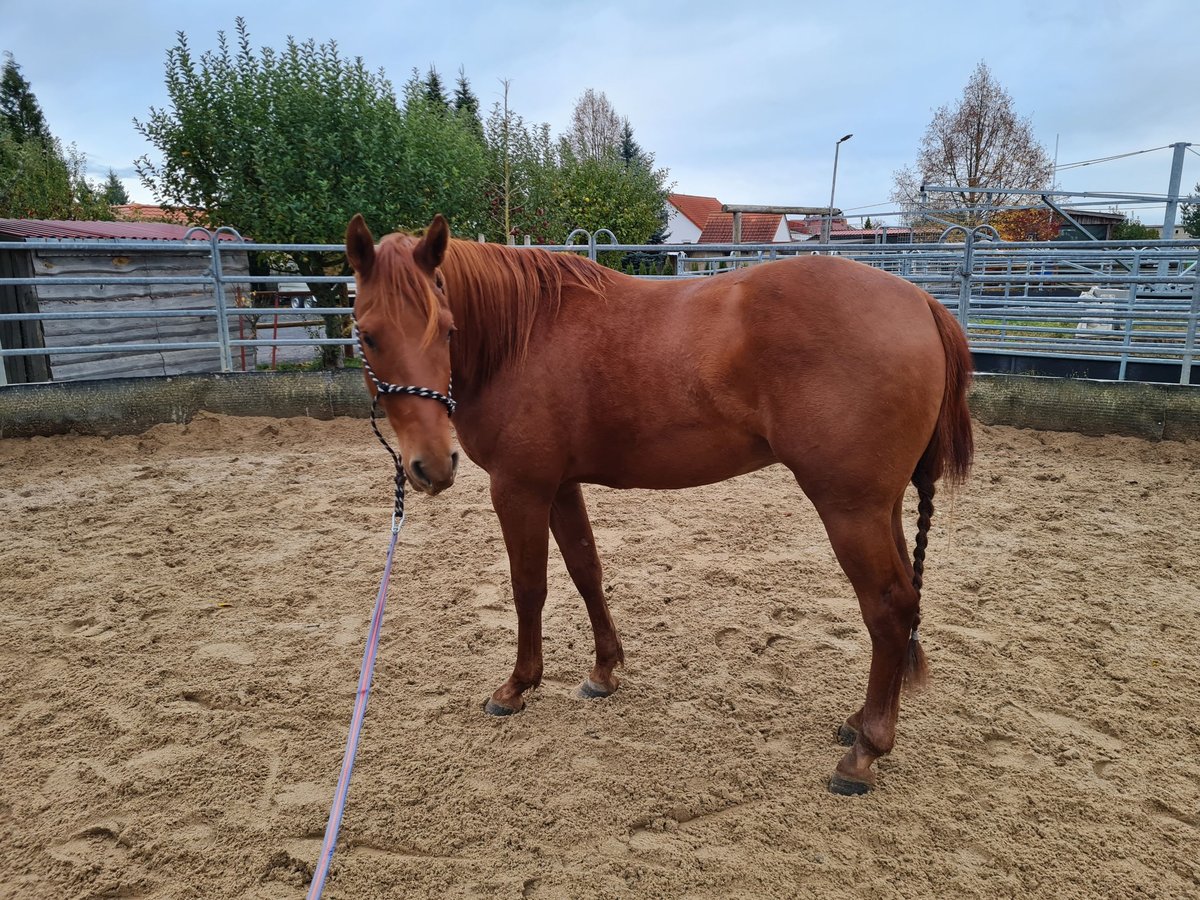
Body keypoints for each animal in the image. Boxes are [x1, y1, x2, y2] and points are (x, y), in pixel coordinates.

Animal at [345, 213, 973, 794]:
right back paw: (860, 722)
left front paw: (518, 686)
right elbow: (585, 569)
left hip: (849, 509)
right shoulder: (559, 485)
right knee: (906, 601)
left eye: (447, 329)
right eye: (369, 335)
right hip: (879, 507)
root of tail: (921, 302)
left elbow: (530, 587)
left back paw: (865, 752)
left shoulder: (519, 487)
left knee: (888, 608)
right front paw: (603, 672)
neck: (522, 335)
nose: (432, 466)